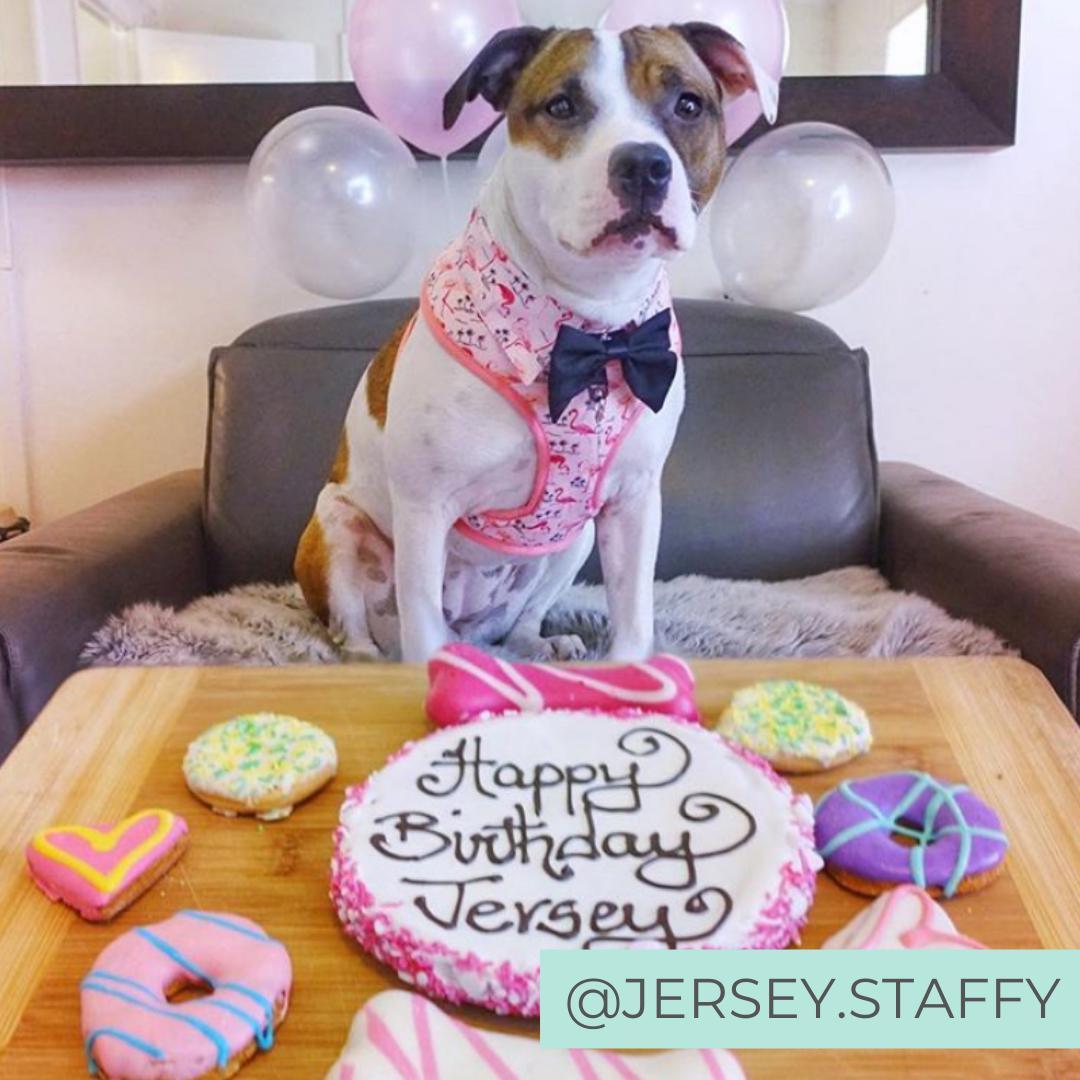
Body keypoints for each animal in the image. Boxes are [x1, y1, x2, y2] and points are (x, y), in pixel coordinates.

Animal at [291, 23, 773, 665]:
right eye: (562, 106)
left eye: (688, 105)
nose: (643, 163)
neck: (592, 330)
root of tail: (469, 629)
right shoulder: (424, 507)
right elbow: (422, 628)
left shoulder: (632, 504)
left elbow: (634, 616)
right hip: (336, 525)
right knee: (363, 629)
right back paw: (366, 661)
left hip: (573, 541)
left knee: (522, 618)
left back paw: (542, 643)